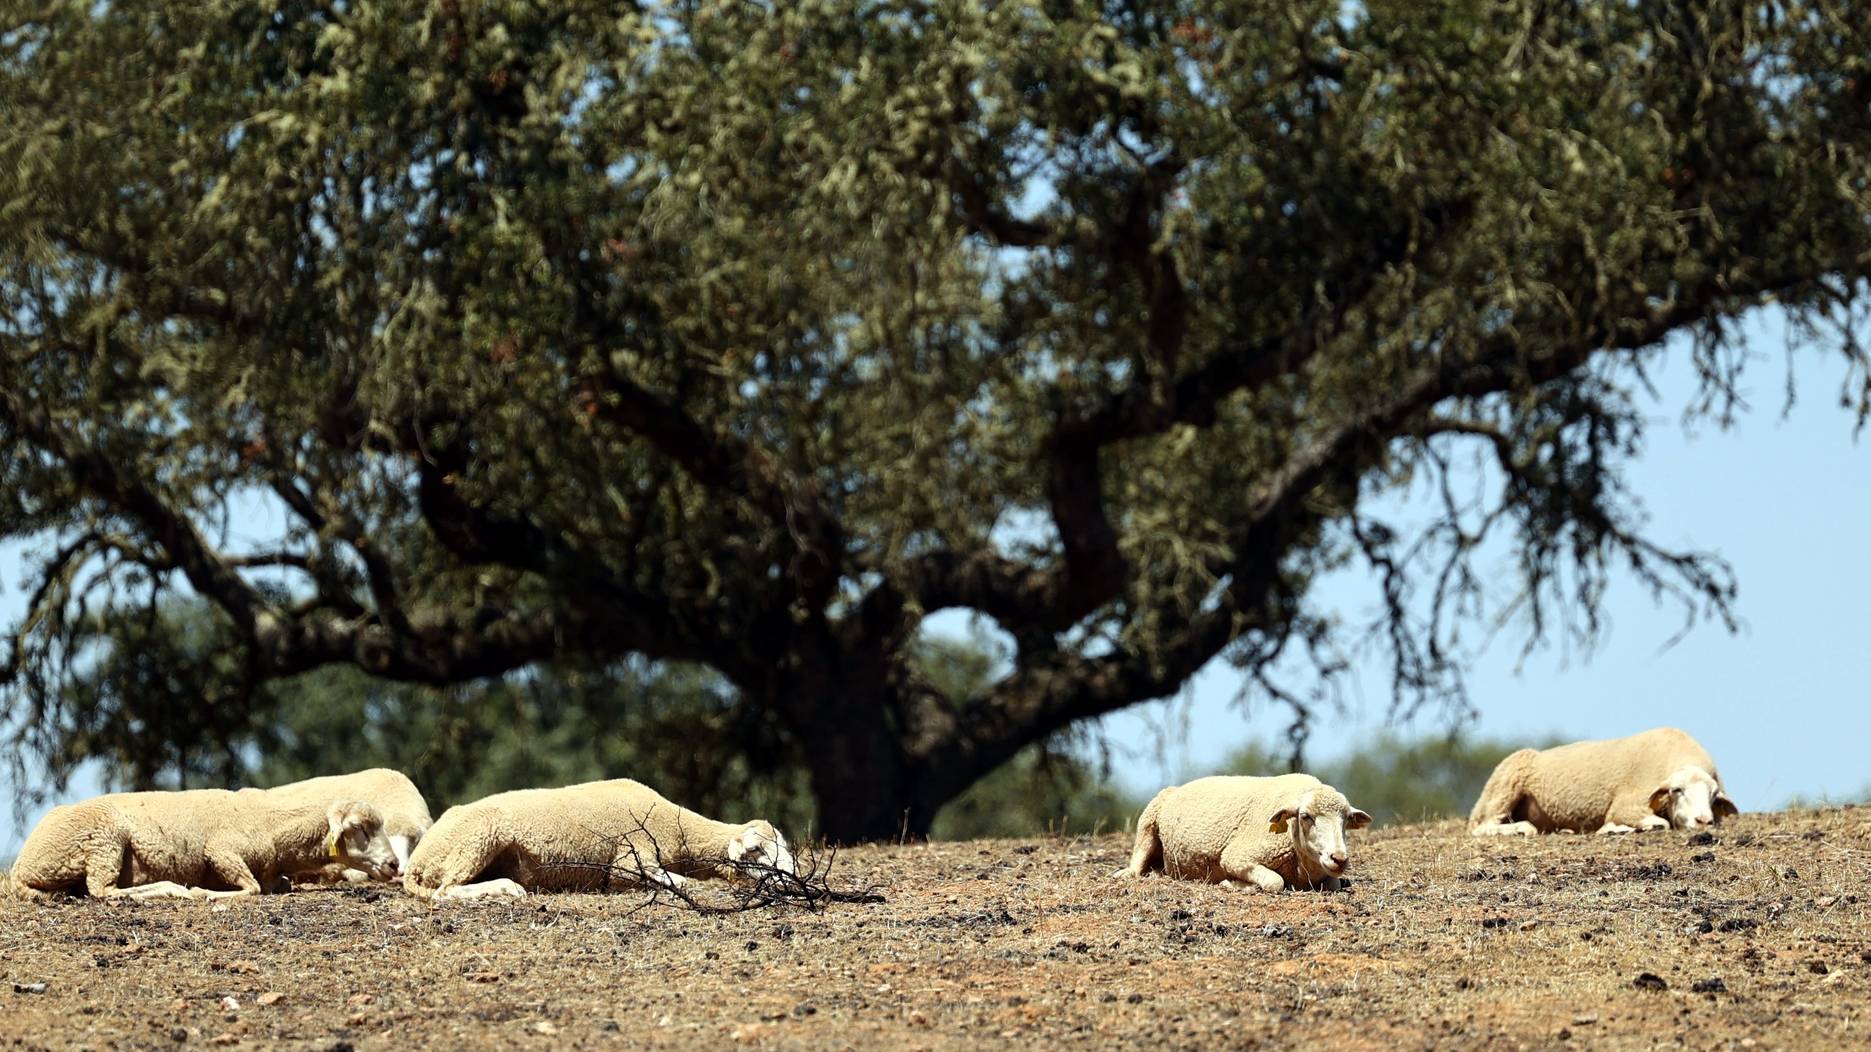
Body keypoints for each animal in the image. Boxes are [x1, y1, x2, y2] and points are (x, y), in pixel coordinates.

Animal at [7, 786, 398, 902]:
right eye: (360, 828)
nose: (395, 865)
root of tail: (22, 866)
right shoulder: (220, 851)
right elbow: (253, 889)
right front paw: (206, 893)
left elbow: (273, 885)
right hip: (105, 838)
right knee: (103, 890)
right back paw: (172, 889)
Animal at [402, 771, 797, 902]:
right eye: (757, 850)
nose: (793, 880)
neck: (677, 827)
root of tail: (417, 862)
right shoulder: (630, 859)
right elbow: (680, 883)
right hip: (477, 838)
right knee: (446, 891)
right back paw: (507, 888)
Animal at [1107, 767, 1377, 887]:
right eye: (1306, 816)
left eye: (1346, 820)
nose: (1339, 858)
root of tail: (1178, 787)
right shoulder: (1236, 857)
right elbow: (1275, 882)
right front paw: (1231, 884)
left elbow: (1334, 883)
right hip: (1148, 821)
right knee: (1138, 859)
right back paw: (1127, 873)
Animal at [1459, 726, 1736, 831]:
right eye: (1677, 790)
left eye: (1713, 796)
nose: (1704, 821)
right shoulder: (1626, 805)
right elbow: (1659, 824)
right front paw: (1614, 828)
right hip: (1505, 789)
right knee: (1483, 827)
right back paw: (1521, 829)